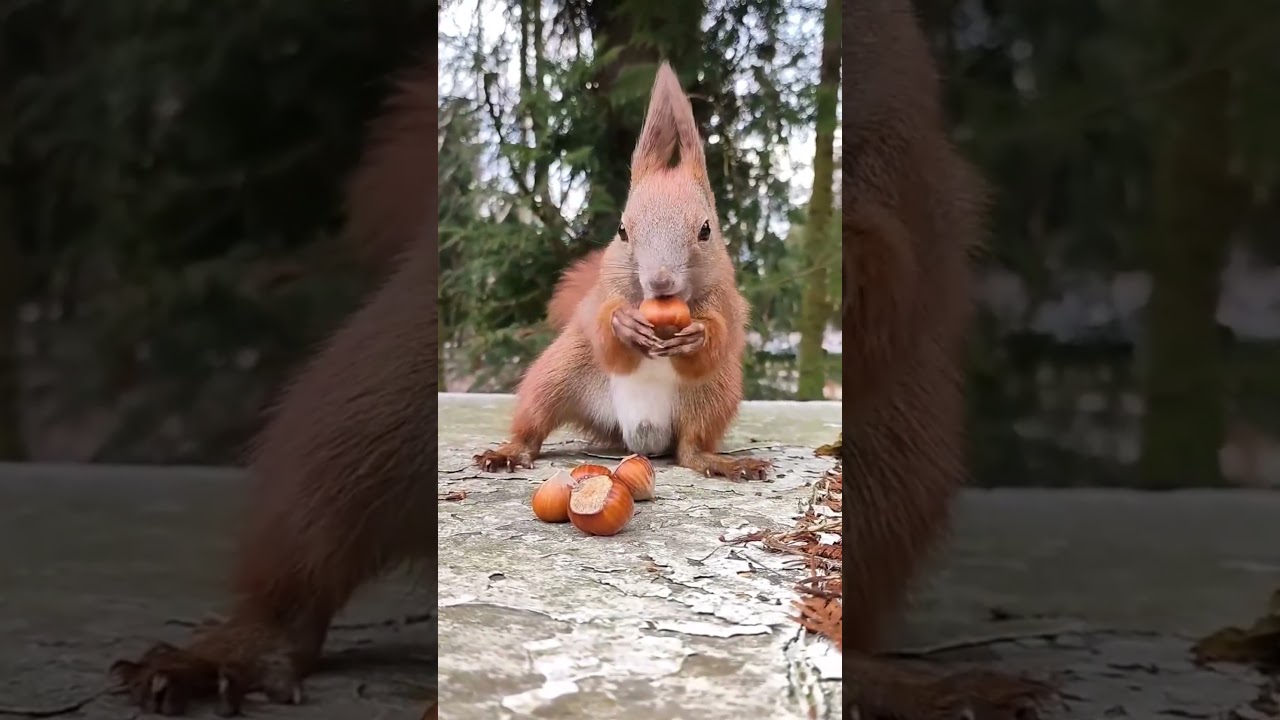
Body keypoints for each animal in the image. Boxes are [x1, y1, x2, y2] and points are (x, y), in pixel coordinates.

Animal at [473, 62, 771, 483]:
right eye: (622, 230)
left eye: (706, 230)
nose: (660, 281)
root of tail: (641, 436)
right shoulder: (601, 293)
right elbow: (605, 331)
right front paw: (623, 324)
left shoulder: (727, 300)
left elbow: (719, 335)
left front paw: (697, 335)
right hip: (558, 373)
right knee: (534, 425)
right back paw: (509, 452)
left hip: (714, 394)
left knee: (691, 449)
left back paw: (724, 462)